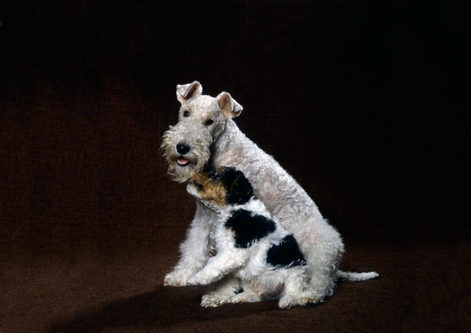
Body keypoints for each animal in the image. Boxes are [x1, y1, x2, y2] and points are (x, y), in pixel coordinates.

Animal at [185, 166, 314, 308]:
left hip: (295, 272)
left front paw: (195, 279)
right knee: (256, 295)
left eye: (217, 176)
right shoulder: (229, 258)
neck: (238, 207)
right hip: (250, 279)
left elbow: (212, 263)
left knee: (293, 291)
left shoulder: (234, 252)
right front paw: (217, 296)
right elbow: (225, 279)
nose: (195, 172)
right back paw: (243, 297)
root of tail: (271, 292)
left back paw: (287, 301)